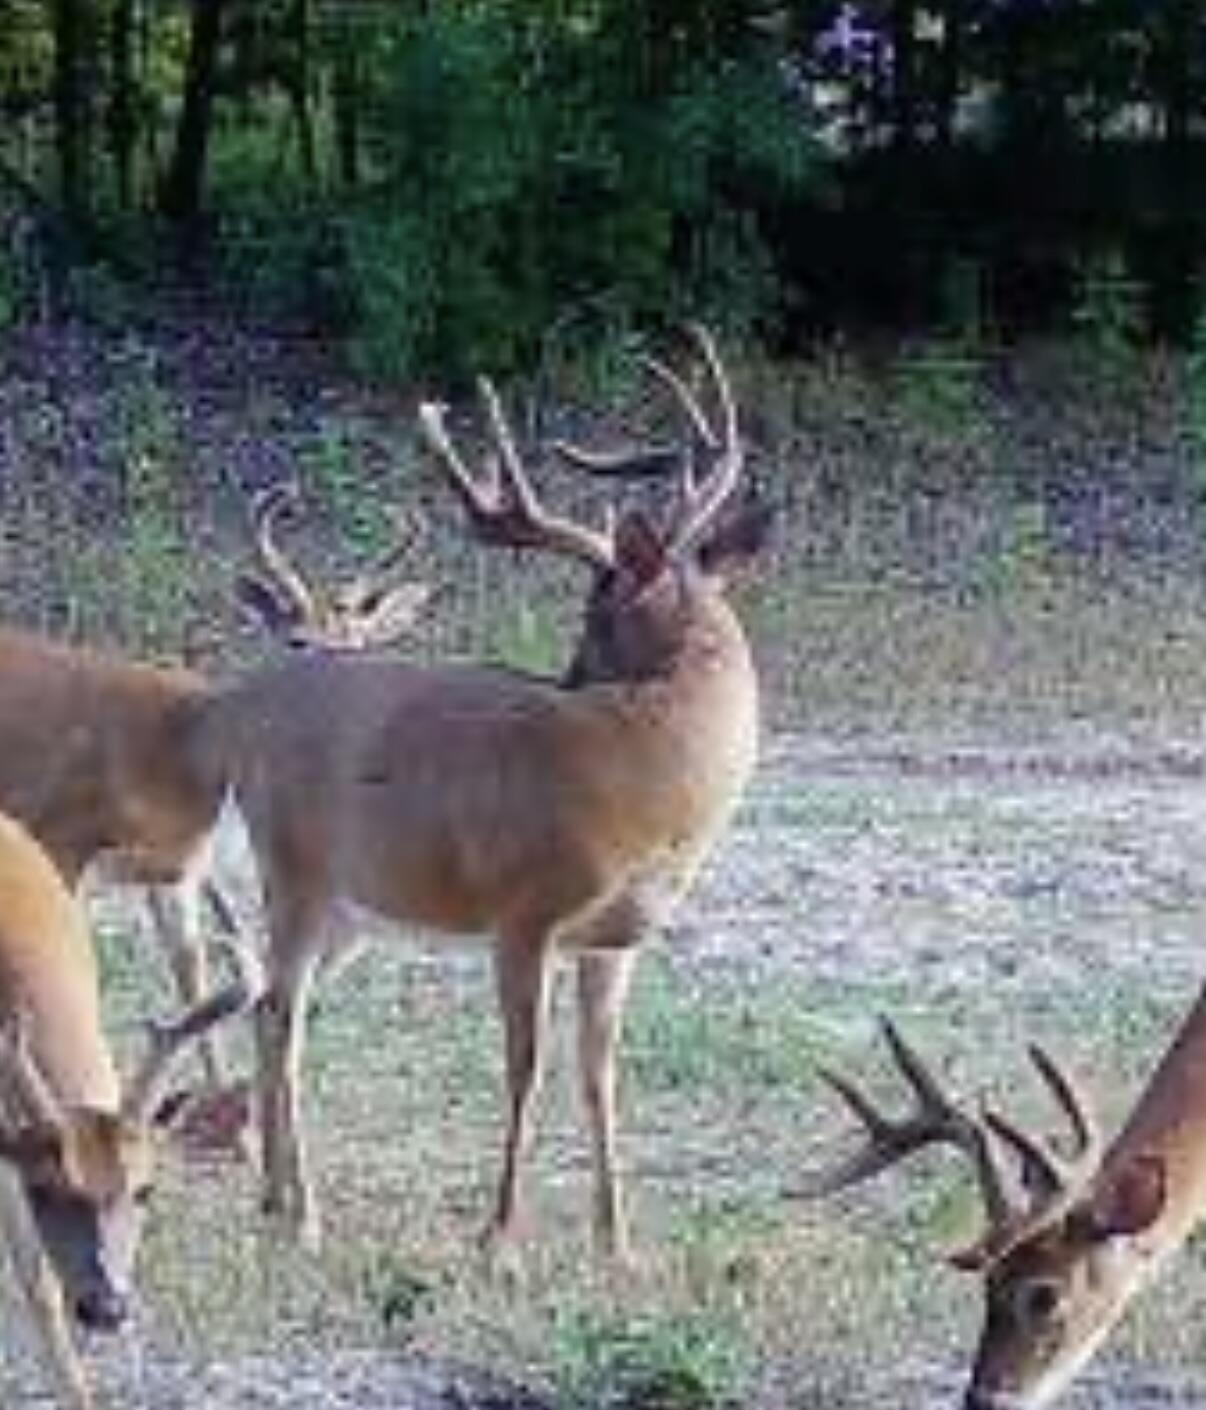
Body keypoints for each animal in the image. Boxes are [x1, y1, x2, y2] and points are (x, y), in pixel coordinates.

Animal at [210, 324, 770, 1257]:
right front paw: (500, 1233)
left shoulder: (615, 939)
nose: (569, 675)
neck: (648, 778)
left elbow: (599, 1076)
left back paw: (272, 1200)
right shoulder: (524, 910)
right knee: (282, 1014)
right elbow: (525, 1068)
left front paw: (618, 1245)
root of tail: (250, 713)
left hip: (352, 906)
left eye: (592, 613)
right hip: (294, 869)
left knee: (271, 1008)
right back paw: (307, 1216)